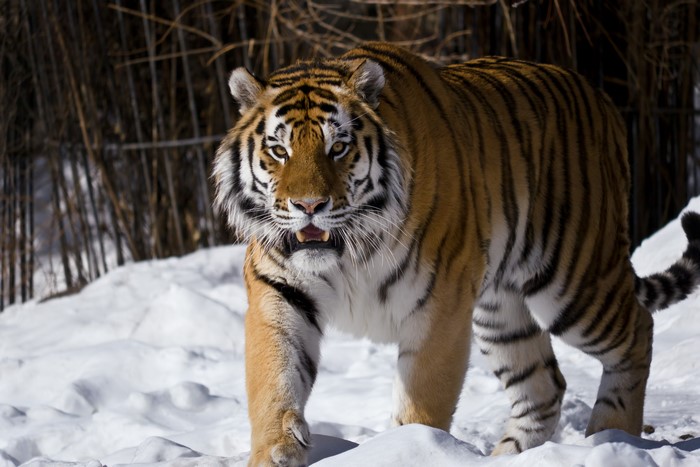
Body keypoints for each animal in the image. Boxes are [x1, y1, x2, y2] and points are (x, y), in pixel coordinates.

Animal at [212, 42, 700, 466]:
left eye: (339, 147)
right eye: (279, 150)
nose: (309, 206)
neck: (350, 250)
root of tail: (603, 100)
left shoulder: (439, 303)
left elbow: (423, 401)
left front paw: (407, 452)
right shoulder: (279, 290)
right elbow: (274, 379)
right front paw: (275, 451)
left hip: (573, 280)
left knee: (638, 330)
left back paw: (612, 434)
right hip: (500, 311)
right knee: (544, 384)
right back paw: (509, 457)